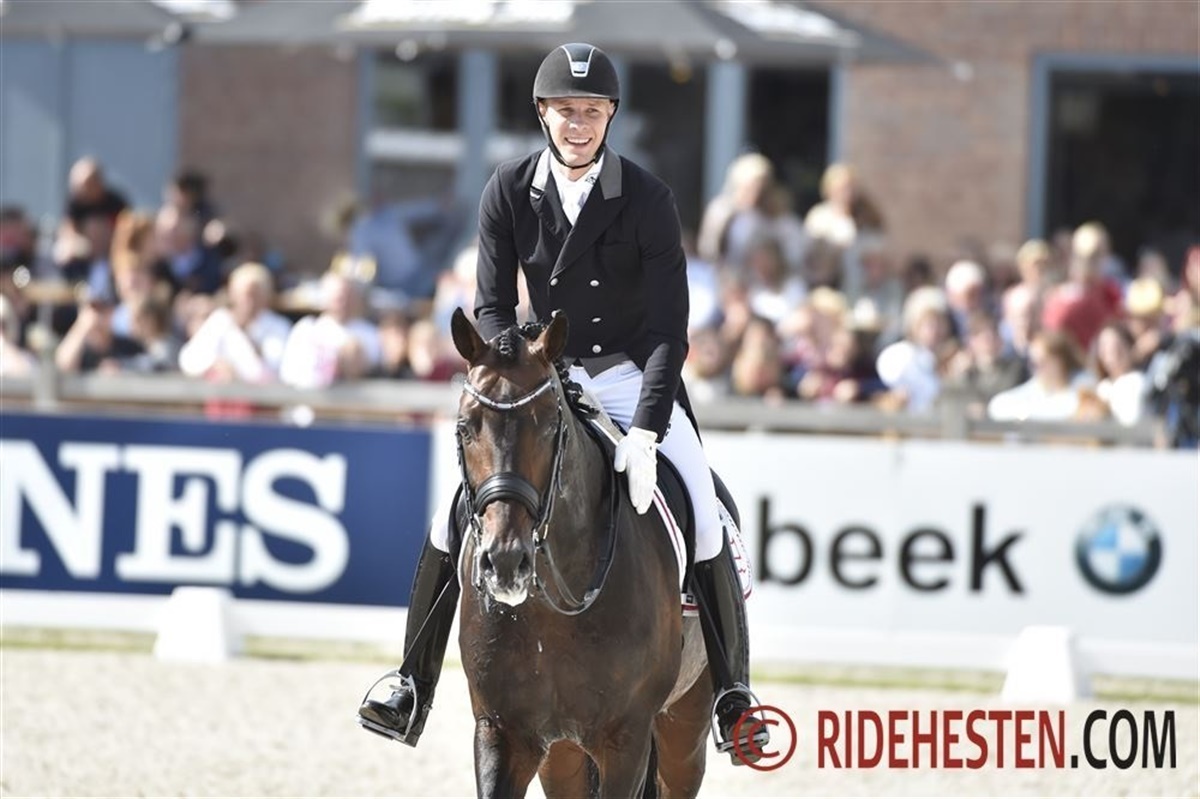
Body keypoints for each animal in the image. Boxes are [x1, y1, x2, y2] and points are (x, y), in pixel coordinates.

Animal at [449, 307, 715, 798]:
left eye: (550, 427)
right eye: (464, 427)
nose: (506, 562)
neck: (553, 606)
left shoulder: (626, 740)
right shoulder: (501, 732)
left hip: (685, 732)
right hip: (562, 755)